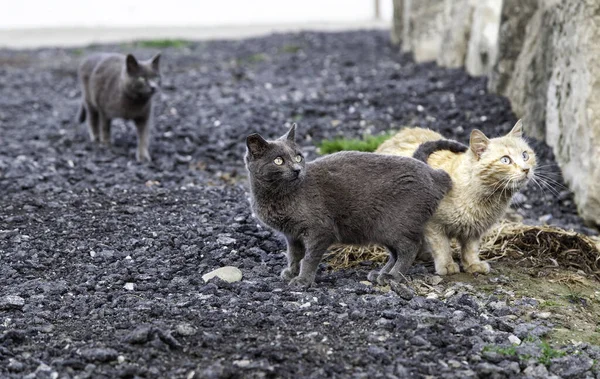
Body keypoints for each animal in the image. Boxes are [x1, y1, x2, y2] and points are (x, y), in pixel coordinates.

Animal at [244, 124, 454, 288]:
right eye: (278, 161)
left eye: (298, 157)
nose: (297, 170)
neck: (278, 196)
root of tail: (434, 174)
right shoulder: (292, 235)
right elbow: (294, 255)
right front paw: (291, 272)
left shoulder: (319, 230)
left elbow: (309, 258)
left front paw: (303, 280)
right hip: (382, 228)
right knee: (396, 252)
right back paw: (380, 274)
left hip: (396, 223)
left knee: (410, 248)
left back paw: (393, 276)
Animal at [378, 121, 536, 276]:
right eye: (505, 160)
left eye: (525, 155)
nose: (526, 169)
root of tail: (398, 134)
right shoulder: (433, 225)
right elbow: (442, 247)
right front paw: (447, 265)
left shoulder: (474, 230)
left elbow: (470, 249)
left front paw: (472, 264)